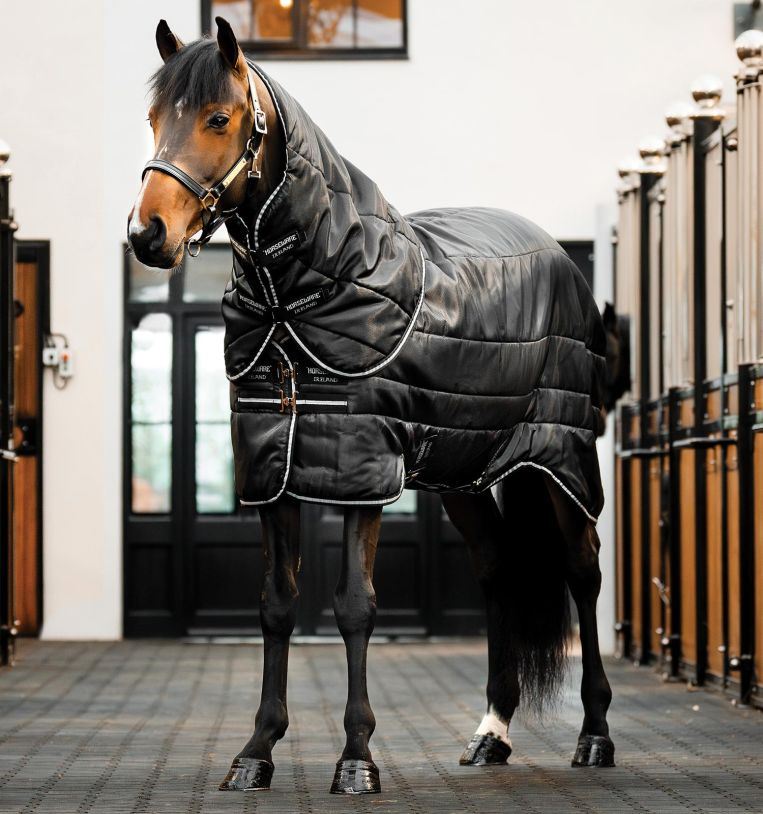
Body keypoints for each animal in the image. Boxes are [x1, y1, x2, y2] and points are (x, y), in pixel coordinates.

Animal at [128, 18, 615, 795]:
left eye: (218, 118)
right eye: (152, 119)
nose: (148, 234)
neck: (305, 293)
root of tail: (560, 257)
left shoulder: (360, 471)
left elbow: (355, 605)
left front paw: (356, 758)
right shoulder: (273, 472)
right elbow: (275, 605)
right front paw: (256, 751)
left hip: (559, 457)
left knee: (582, 568)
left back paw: (594, 734)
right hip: (462, 470)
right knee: (496, 567)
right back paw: (491, 733)